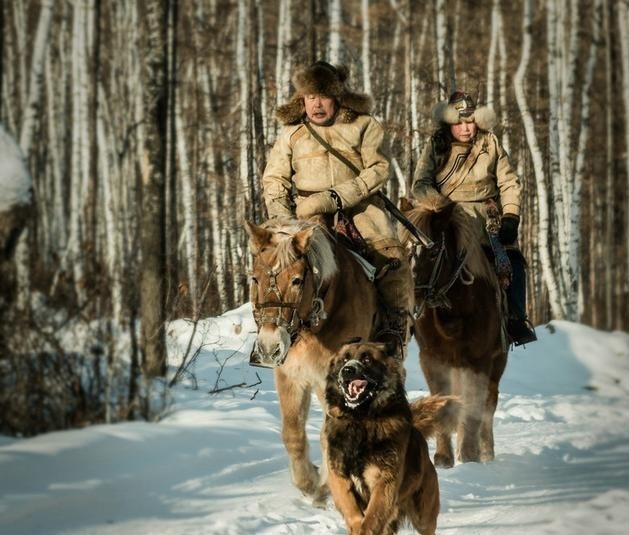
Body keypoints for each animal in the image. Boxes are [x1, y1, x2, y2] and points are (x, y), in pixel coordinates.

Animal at [244, 217, 372, 502]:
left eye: (297, 280)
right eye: (255, 278)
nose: (269, 347)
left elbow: (330, 434)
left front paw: (325, 483)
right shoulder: (290, 375)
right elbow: (292, 433)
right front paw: (309, 482)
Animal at [324, 344, 456, 535]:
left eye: (366, 359)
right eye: (344, 359)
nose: (347, 370)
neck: (361, 419)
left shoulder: (385, 481)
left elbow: (372, 517)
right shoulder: (338, 475)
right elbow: (351, 508)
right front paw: (356, 526)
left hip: (423, 515)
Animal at [400, 197, 508, 468]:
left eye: (433, 251)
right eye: (403, 248)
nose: (408, 294)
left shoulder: (478, 361)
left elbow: (474, 405)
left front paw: (469, 455)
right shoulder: (433, 359)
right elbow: (443, 403)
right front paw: (443, 457)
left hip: (497, 362)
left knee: (489, 404)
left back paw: (486, 452)